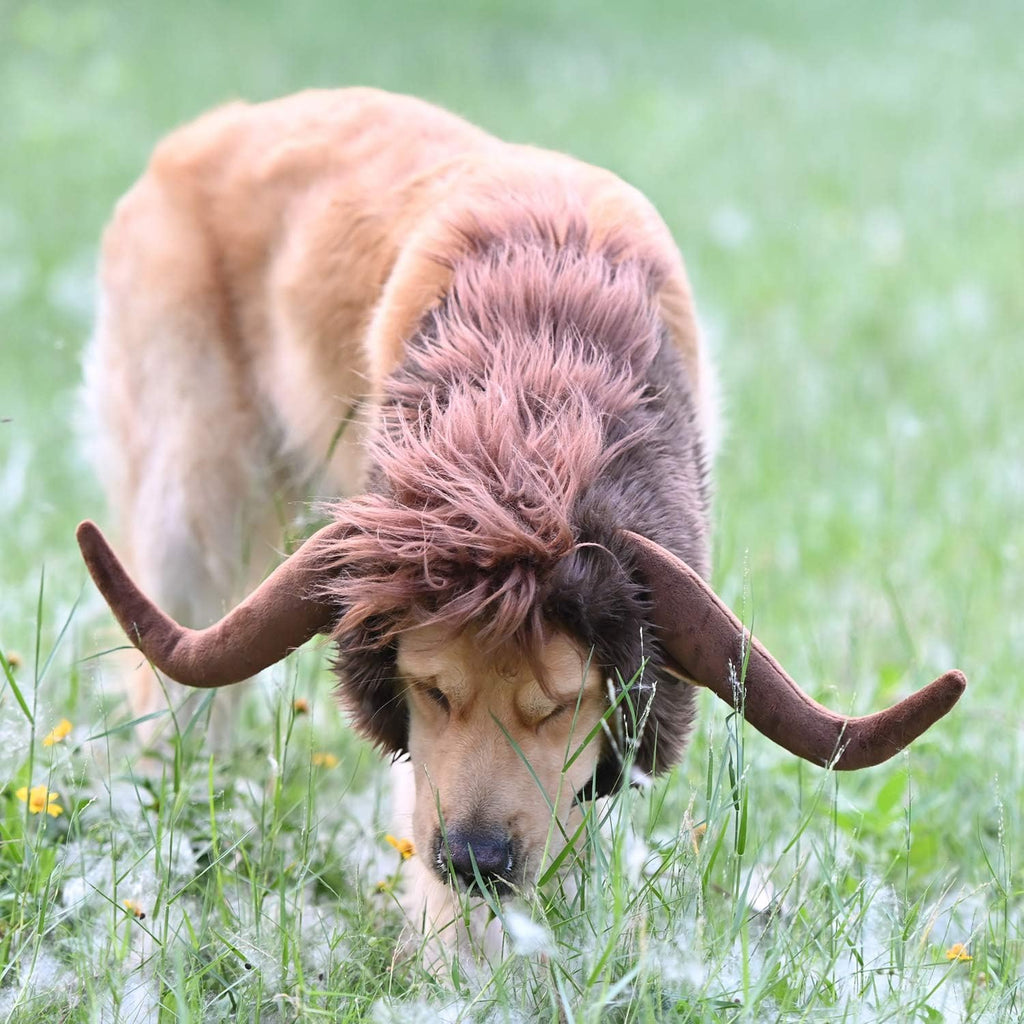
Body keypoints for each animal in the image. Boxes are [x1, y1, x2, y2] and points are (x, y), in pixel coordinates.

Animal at [77, 88, 958, 958]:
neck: (538, 374)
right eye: (430, 689)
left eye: (561, 703)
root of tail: (203, 135)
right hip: (192, 506)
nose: (476, 861)